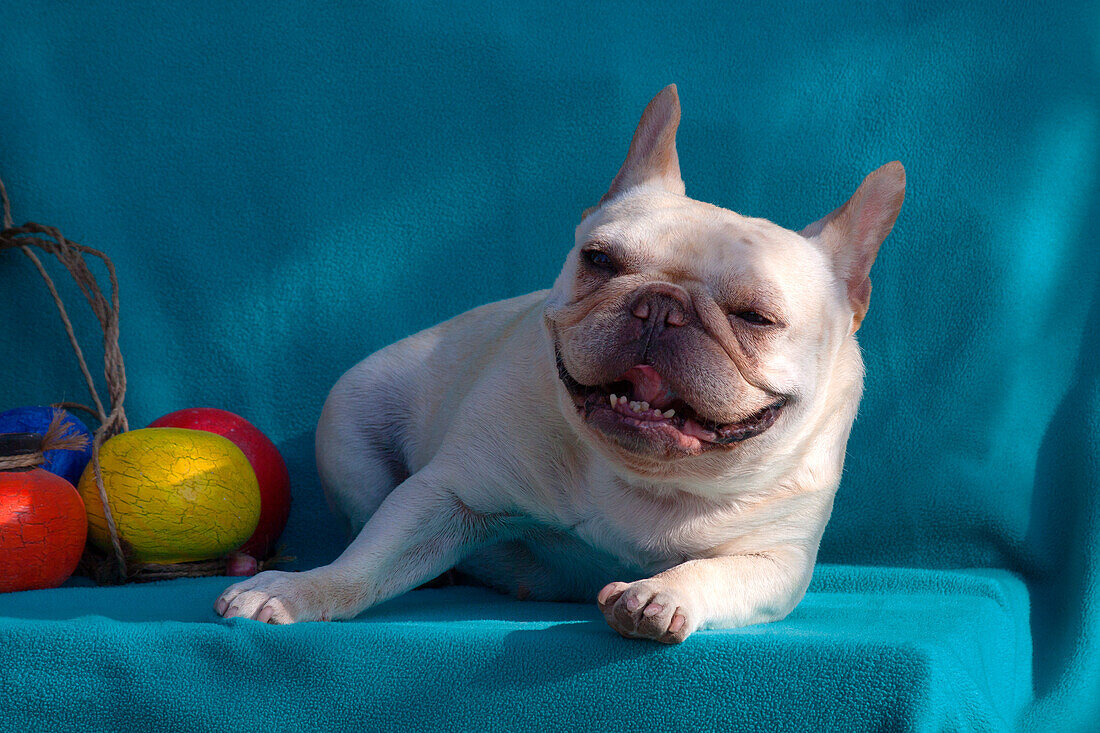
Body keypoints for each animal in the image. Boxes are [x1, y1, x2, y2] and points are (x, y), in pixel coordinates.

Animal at [212, 84, 902, 638]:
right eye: (600, 260)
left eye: (755, 318)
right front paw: (299, 591)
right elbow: (368, 560)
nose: (661, 307)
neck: (645, 480)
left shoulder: (777, 563)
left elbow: (717, 572)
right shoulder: (447, 495)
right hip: (347, 426)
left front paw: (663, 595)